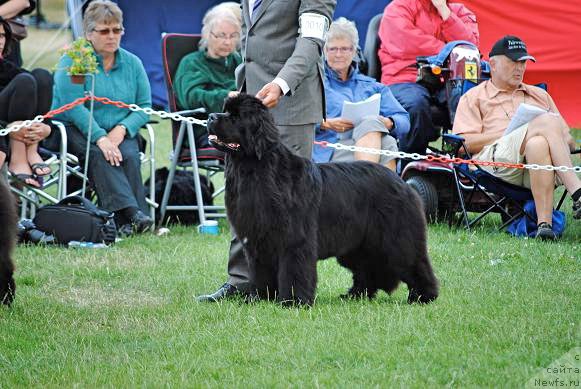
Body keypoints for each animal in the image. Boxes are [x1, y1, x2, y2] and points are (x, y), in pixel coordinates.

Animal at [206, 92, 438, 304]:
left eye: (236, 116)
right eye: (225, 110)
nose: (210, 116)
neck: (254, 169)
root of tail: (400, 181)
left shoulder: (294, 239)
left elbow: (294, 270)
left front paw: (293, 301)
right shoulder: (257, 238)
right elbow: (261, 271)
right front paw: (261, 298)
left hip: (396, 236)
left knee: (414, 261)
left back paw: (423, 296)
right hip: (358, 243)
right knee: (367, 268)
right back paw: (355, 295)